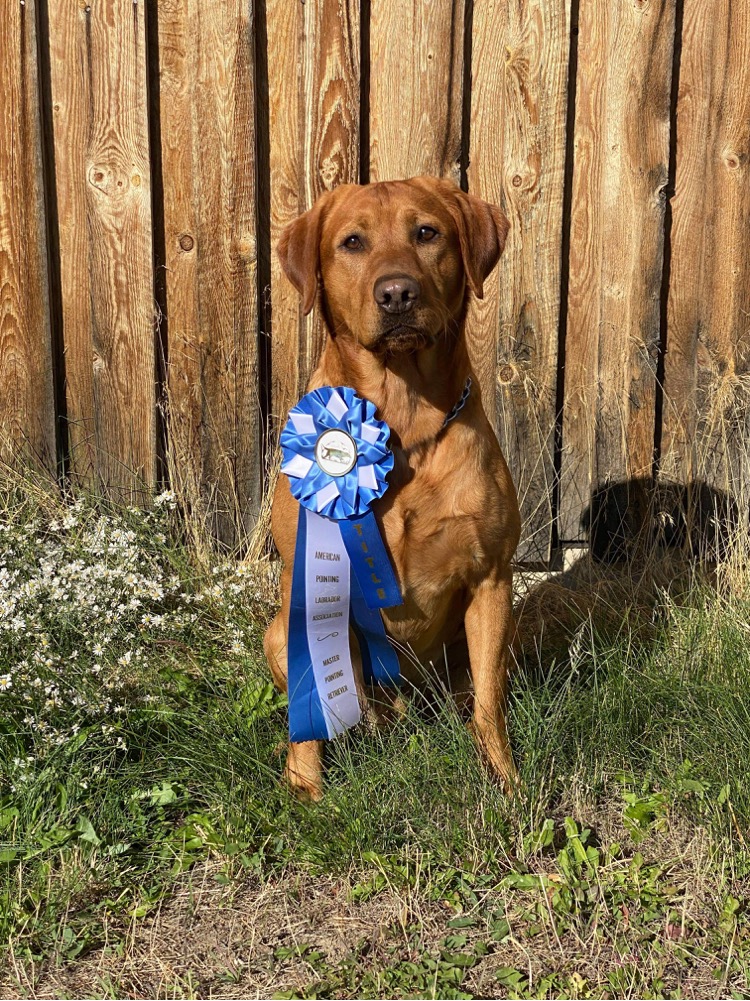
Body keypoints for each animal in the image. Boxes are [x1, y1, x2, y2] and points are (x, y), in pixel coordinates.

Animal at [264, 172, 520, 796]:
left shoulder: (492, 578)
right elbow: (307, 706)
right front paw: (306, 786)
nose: (397, 293)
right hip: (276, 632)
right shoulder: (301, 584)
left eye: (426, 233)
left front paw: (503, 778)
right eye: (352, 242)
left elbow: (490, 703)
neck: (403, 424)